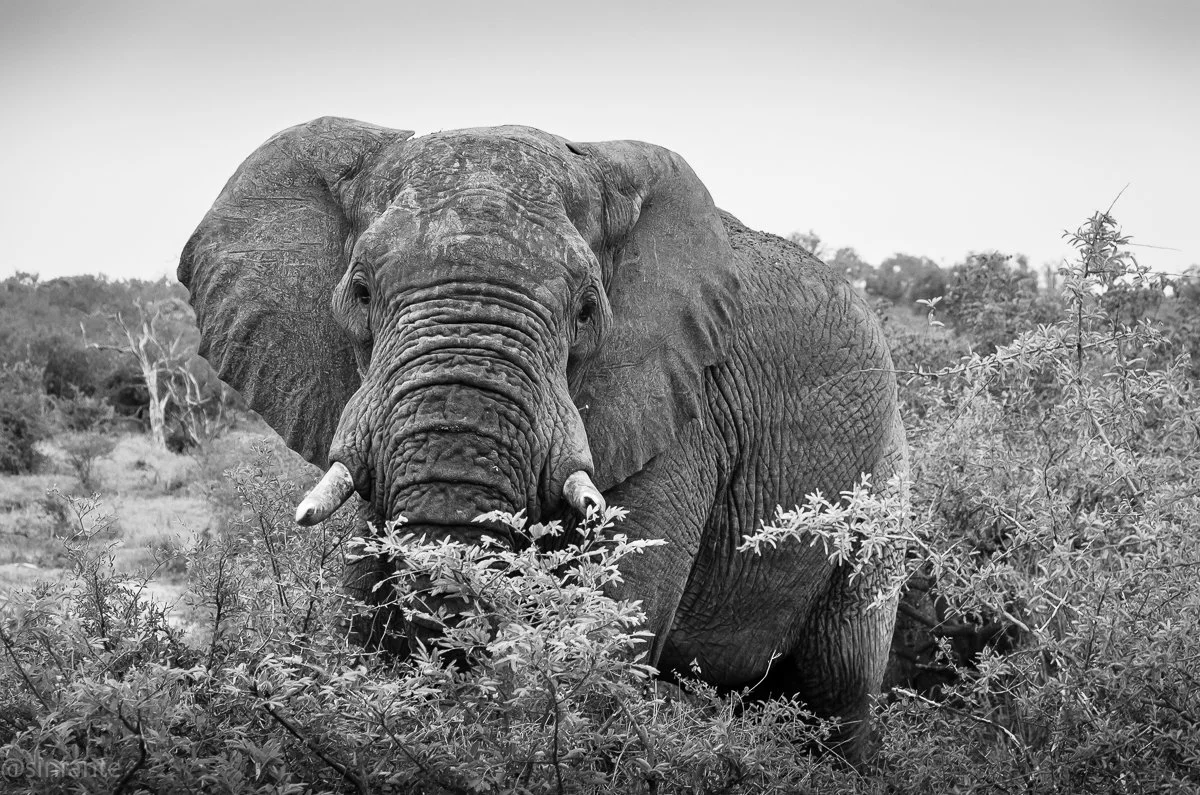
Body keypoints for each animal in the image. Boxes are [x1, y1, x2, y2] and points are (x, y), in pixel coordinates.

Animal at [178, 117, 908, 756]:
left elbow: (606, 627)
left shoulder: (685, 407)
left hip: (882, 488)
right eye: (359, 292)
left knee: (840, 686)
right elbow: (365, 613)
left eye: (587, 309)